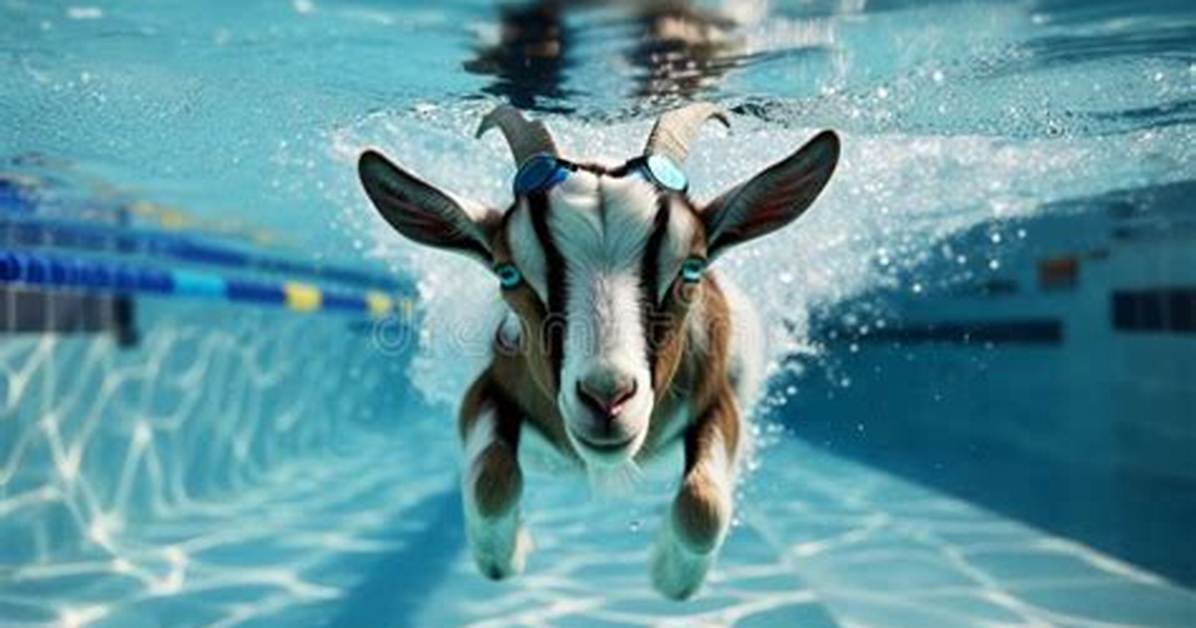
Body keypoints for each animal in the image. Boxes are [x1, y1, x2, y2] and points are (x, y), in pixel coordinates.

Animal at [357, 104, 839, 599]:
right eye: (509, 274)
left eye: (692, 267)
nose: (608, 397)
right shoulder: (487, 389)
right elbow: (491, 482)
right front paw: (503, 557)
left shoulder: (720, 400)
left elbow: (702, 507)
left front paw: (671, 579)